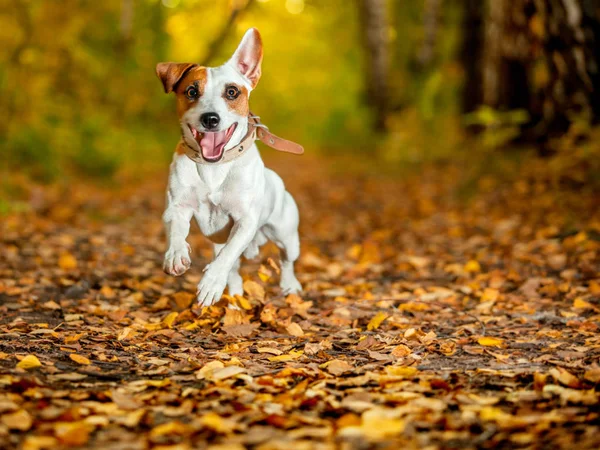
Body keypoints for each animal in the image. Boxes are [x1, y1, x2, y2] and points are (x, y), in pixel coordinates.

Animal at [156, 28, 302, 308]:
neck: (214, 168)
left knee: (285, 260)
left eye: (232, 92)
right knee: (233, 268)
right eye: (192, 91)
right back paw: (233, 294)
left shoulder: (245, 220)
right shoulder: (176, 207)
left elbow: (229, 253)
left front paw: (211, 282)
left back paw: (290, 285)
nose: (210, 119)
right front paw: (176, 254)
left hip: (286, 236)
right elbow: (177, 231)